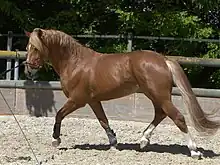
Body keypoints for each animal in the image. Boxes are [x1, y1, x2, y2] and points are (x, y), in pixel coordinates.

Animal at [24, 28, 220, 159]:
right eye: (28, 47)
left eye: (35, 48)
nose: (28, 70)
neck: (76, 63)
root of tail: (163, 60)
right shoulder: (93, 101)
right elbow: (103, 121)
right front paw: (113, 142)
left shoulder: (77, 100)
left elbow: (59, 115)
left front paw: (55, 140)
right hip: (154, 95)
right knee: (161, 114)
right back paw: (143, 140)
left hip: (159, 95)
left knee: (177, 117)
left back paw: (194, 150)